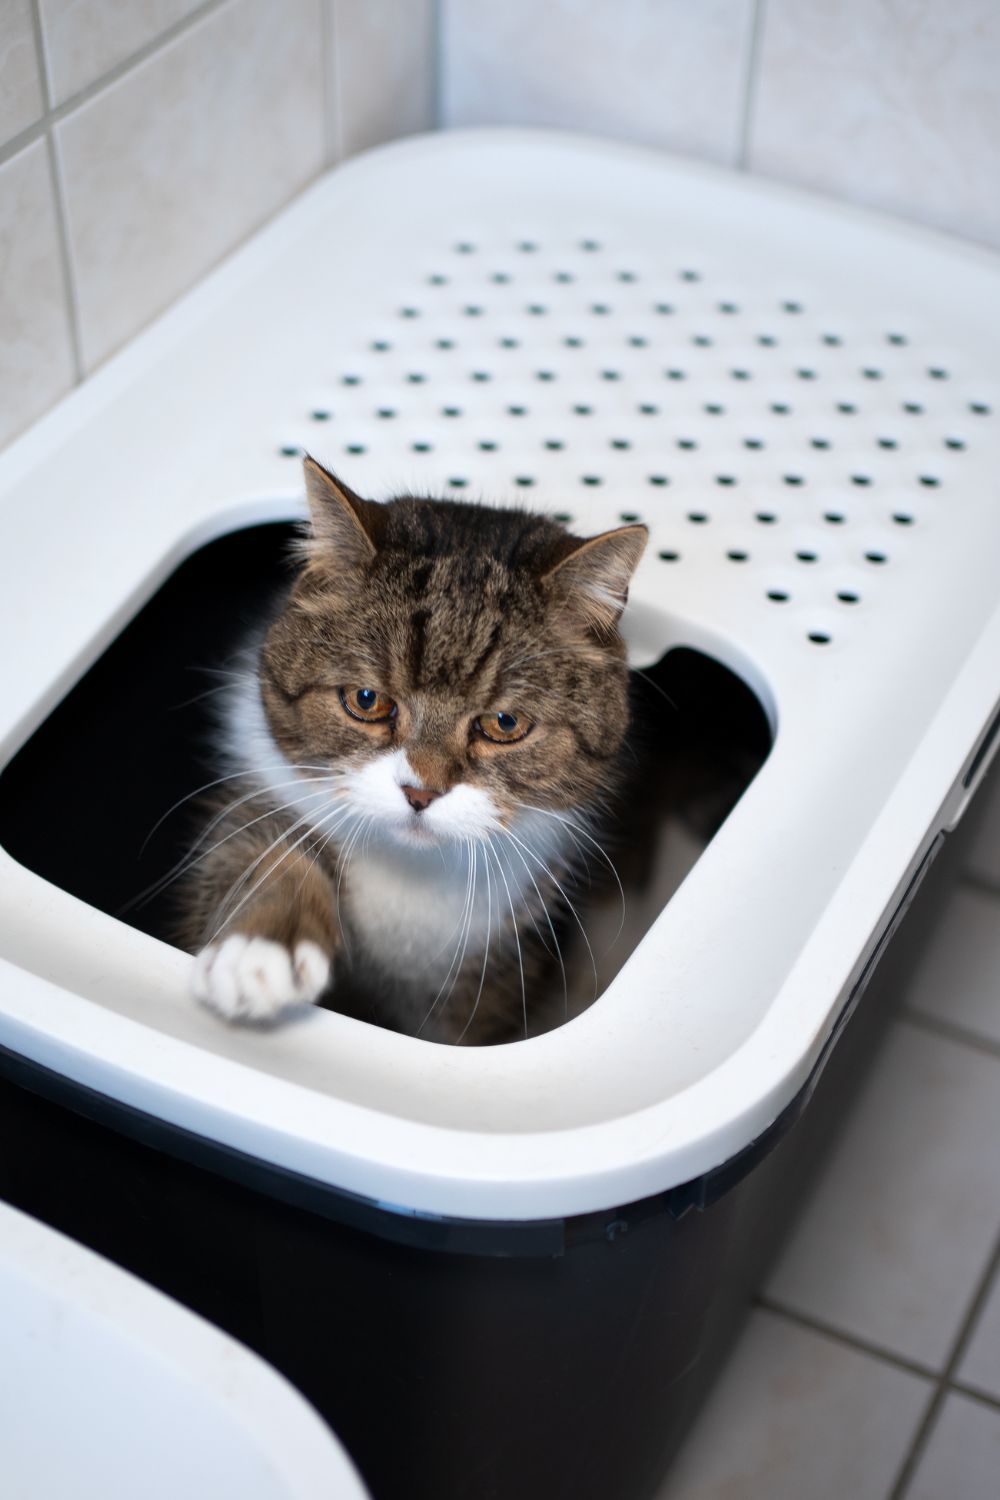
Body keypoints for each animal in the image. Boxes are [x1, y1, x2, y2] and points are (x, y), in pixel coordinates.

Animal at [179, 456, 650, 1044]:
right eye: (367, 700)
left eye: (505, 723)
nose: (420, 792)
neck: (409, 869)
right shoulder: (266, 788)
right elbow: (256, 851)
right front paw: (260, 949)